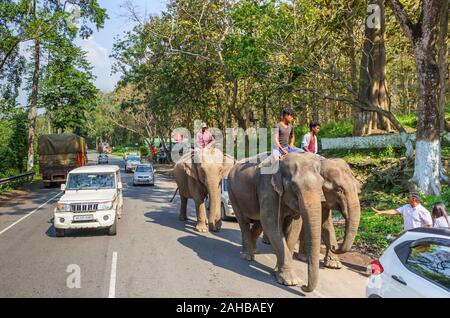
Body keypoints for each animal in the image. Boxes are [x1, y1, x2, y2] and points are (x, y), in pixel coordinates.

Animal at [227, 153, 326, 292]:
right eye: (294, 187)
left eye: (322, 183)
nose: (304, 287)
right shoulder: (268, 189)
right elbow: (272, 225)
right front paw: (290, 281)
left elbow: (295, 227)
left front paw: (277, 272)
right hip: (232, 192)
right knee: (244, 221)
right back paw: (247, 256)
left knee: (259, 223)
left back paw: (253, 250)